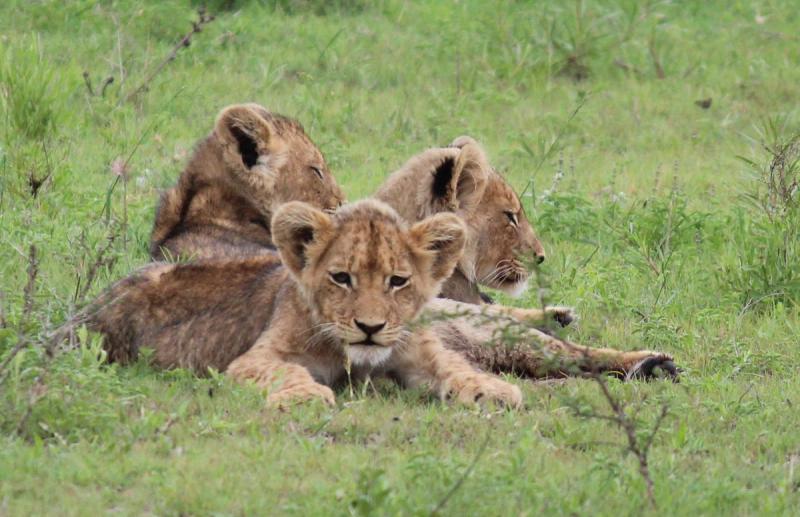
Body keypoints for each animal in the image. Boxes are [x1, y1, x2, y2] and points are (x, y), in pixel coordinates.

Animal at [77, 200, 523, 407]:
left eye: (397, 282)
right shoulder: (252, 360)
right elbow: (284, 372)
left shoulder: (418, 352)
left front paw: (492, 389)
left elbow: (455, 365)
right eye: (341, 278)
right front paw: (306, 397)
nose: (370, 328)